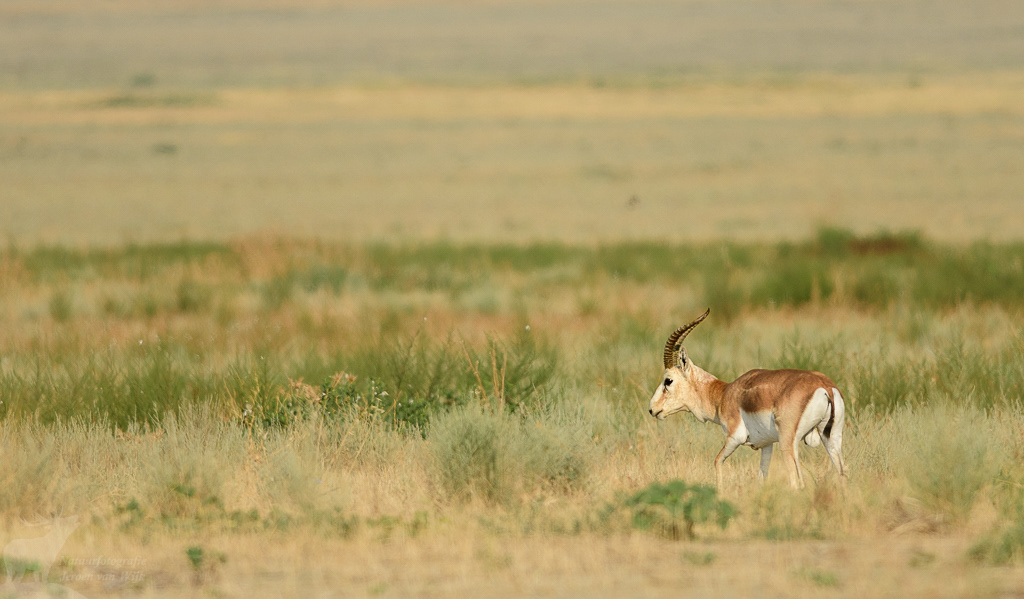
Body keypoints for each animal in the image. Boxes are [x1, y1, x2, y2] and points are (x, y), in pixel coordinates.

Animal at [648, 309, 847, 489]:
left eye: (668, 380)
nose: (652, 409)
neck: (723, 395)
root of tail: (825, 386)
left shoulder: (734, 438)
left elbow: (717, 461)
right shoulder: (767, 445)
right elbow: (761, 477)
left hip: (788, 442)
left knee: (797, 482)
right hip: (831, 438)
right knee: (843, 473)